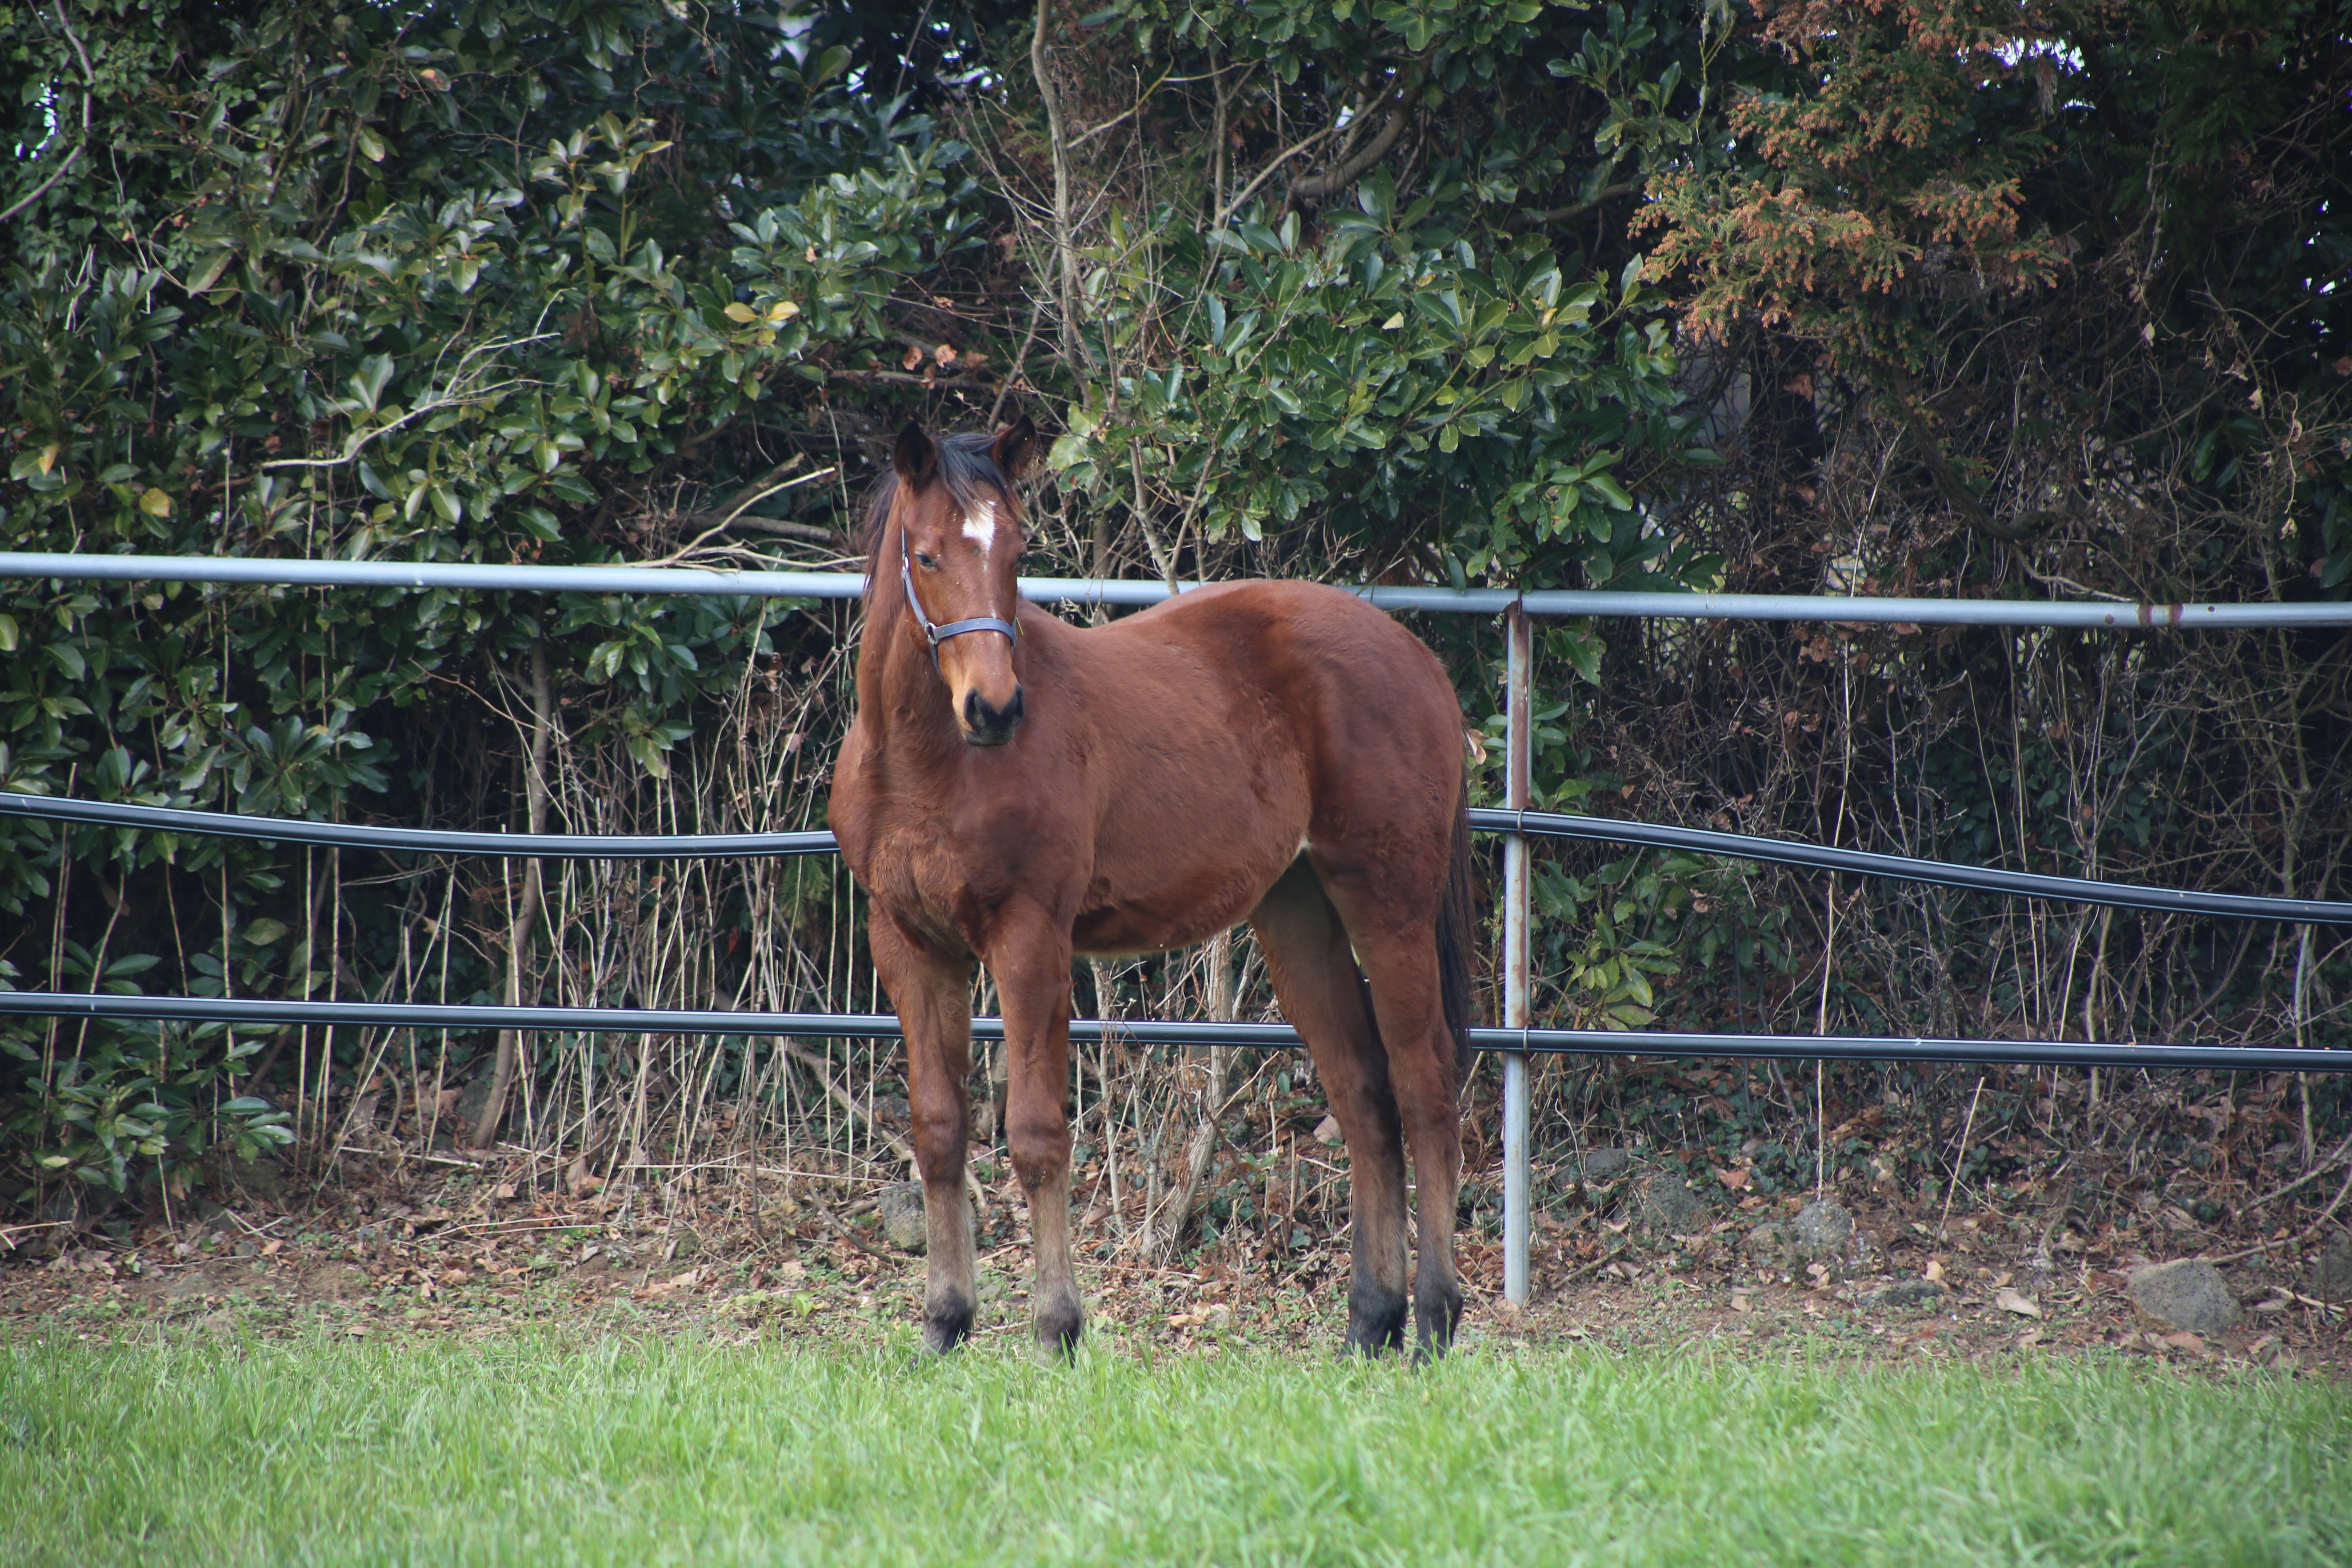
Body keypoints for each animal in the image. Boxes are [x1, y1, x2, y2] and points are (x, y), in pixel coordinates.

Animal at [833, 421, 1468, 1363]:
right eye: (926, 554)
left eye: (1018, 550)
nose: (996, 709)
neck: (926, 764)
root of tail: (1418, 656)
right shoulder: (911, 944)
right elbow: (940, 1131)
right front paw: (944, 1326)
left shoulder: (1029, 939)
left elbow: (1036, 1135)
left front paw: (1056, 1330)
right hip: (1298, 914)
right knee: (1365, 1096)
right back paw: (1368, 1323)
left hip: (1389, 904)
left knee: (1425, 1085)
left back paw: (1432, 1318)